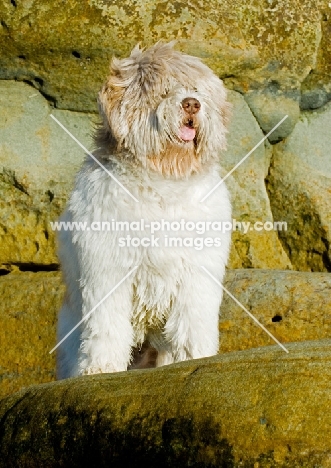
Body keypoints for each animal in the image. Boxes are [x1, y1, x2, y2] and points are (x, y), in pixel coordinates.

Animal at [57, 42, 232, 378]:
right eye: (163, 91)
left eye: (195, 90)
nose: (192, 105)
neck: (164, 181)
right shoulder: (108, 269)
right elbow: (107, 325)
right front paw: (101, 368)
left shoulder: (197, 272)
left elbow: (193, 321)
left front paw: (195, 358)